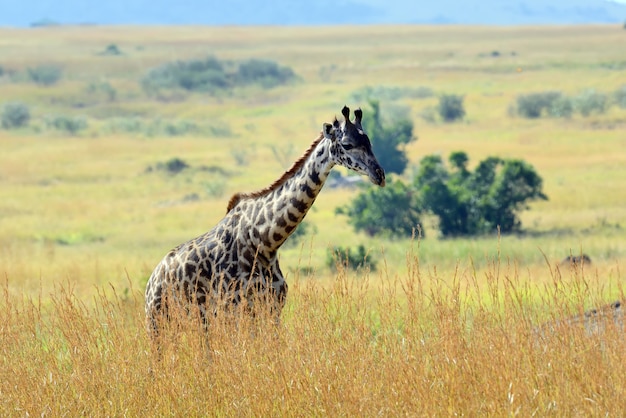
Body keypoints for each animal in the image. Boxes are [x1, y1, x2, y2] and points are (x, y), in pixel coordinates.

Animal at [144, 105, 382, 336]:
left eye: (369, 141)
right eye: (347, 144)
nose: (379, 174)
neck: (266, 241)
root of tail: (151, 282)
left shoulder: (273, 307)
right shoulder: (234, 309)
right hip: (158, 323)